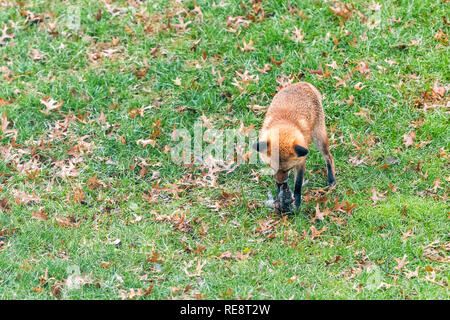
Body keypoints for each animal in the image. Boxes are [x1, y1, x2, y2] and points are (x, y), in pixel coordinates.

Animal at [253, 82, 334, 210]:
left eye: (288, 168)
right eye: (271, 166)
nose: (280, 182)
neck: (284, 124)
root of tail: (304, 83)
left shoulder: (300, 161)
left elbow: (298, 184)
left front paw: (297, 203)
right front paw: (280, 195)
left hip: (319, 136)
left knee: (329, 157)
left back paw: (331, 180)